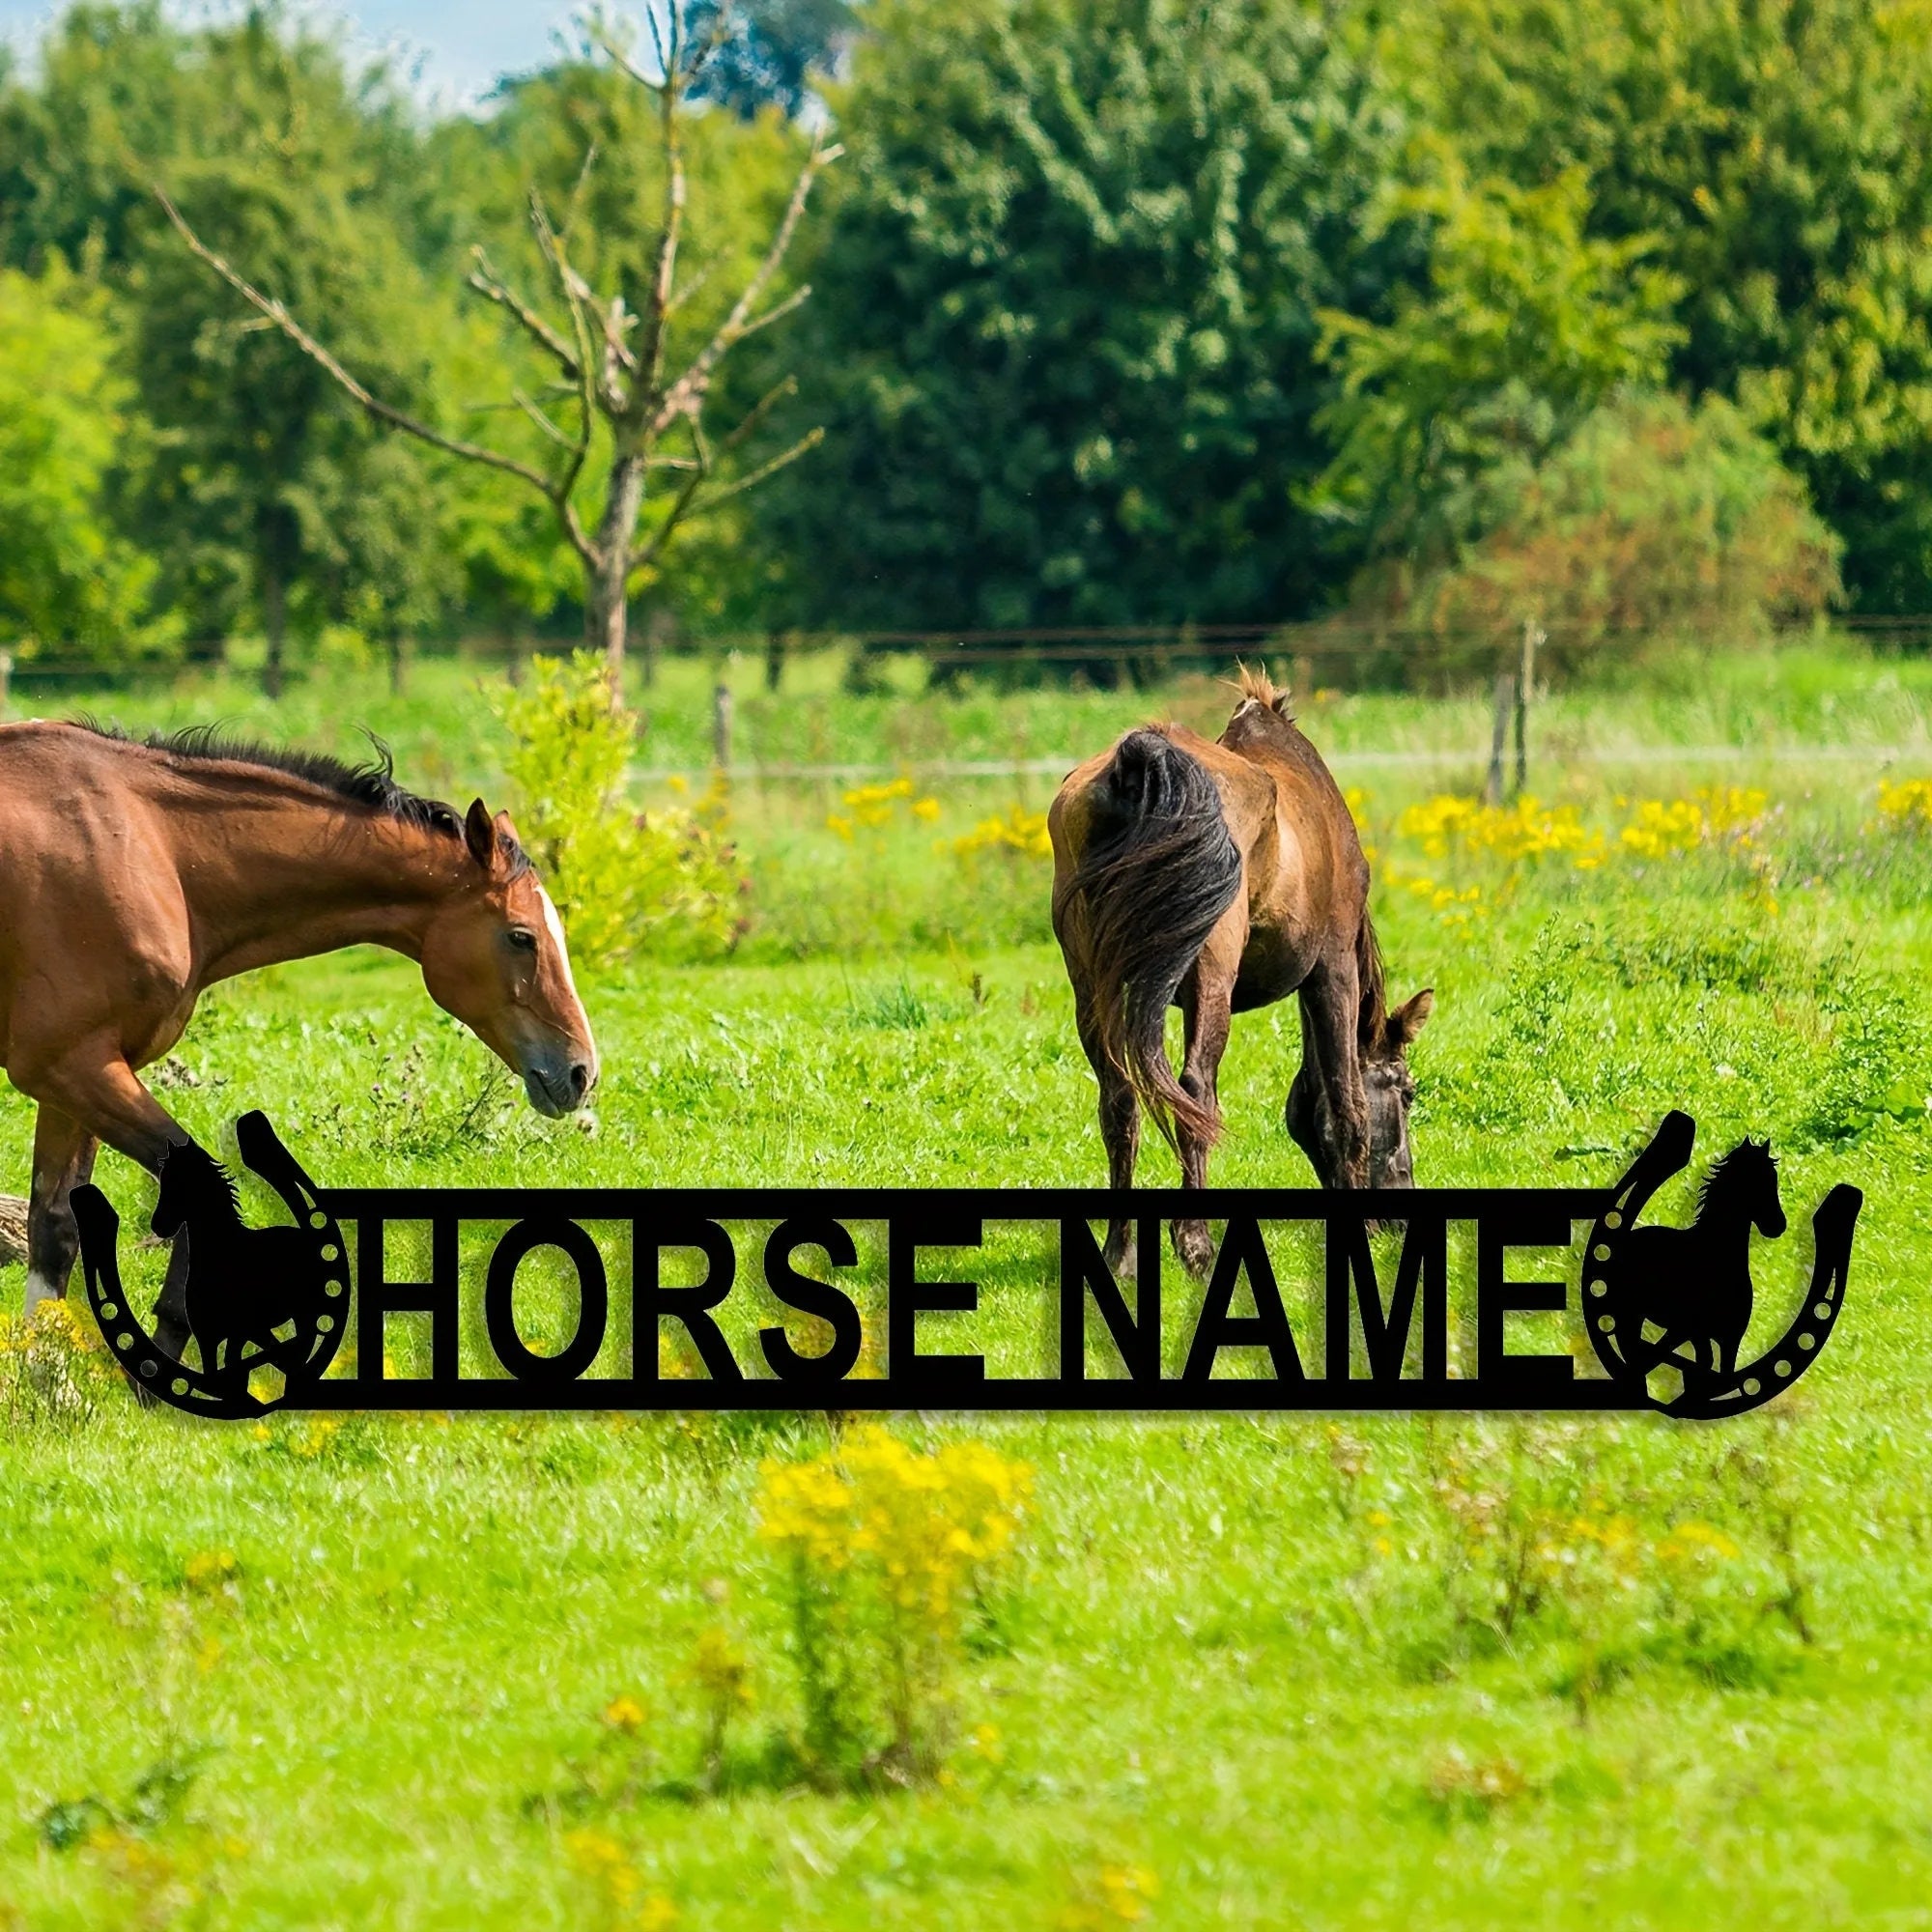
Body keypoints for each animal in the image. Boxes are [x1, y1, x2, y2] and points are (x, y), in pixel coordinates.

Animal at [0, 721, 599, 1362]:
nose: (581, 1071)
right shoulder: (72, 1067)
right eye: (521, 937)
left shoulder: (77, 1078)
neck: (150, 850)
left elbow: (55, 1229)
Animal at [1049, 668, 1433, 1276]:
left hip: (1095, 986)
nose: (1399, 1214)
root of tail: (1141, 761)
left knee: (1120, 1099)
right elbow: (1344, 1102)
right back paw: (1196, 1245)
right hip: (1211, 975)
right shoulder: (1332, 970)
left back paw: (1119, 1253)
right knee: (1194, 1091)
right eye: (1409, 1091)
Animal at [1600, 1137, 1786, 1388]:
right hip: (1629, 1314)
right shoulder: (1690, 1331)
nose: (1778, 1225)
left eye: (1773, 1178)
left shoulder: (1729, 1340)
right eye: (1754, 1180)